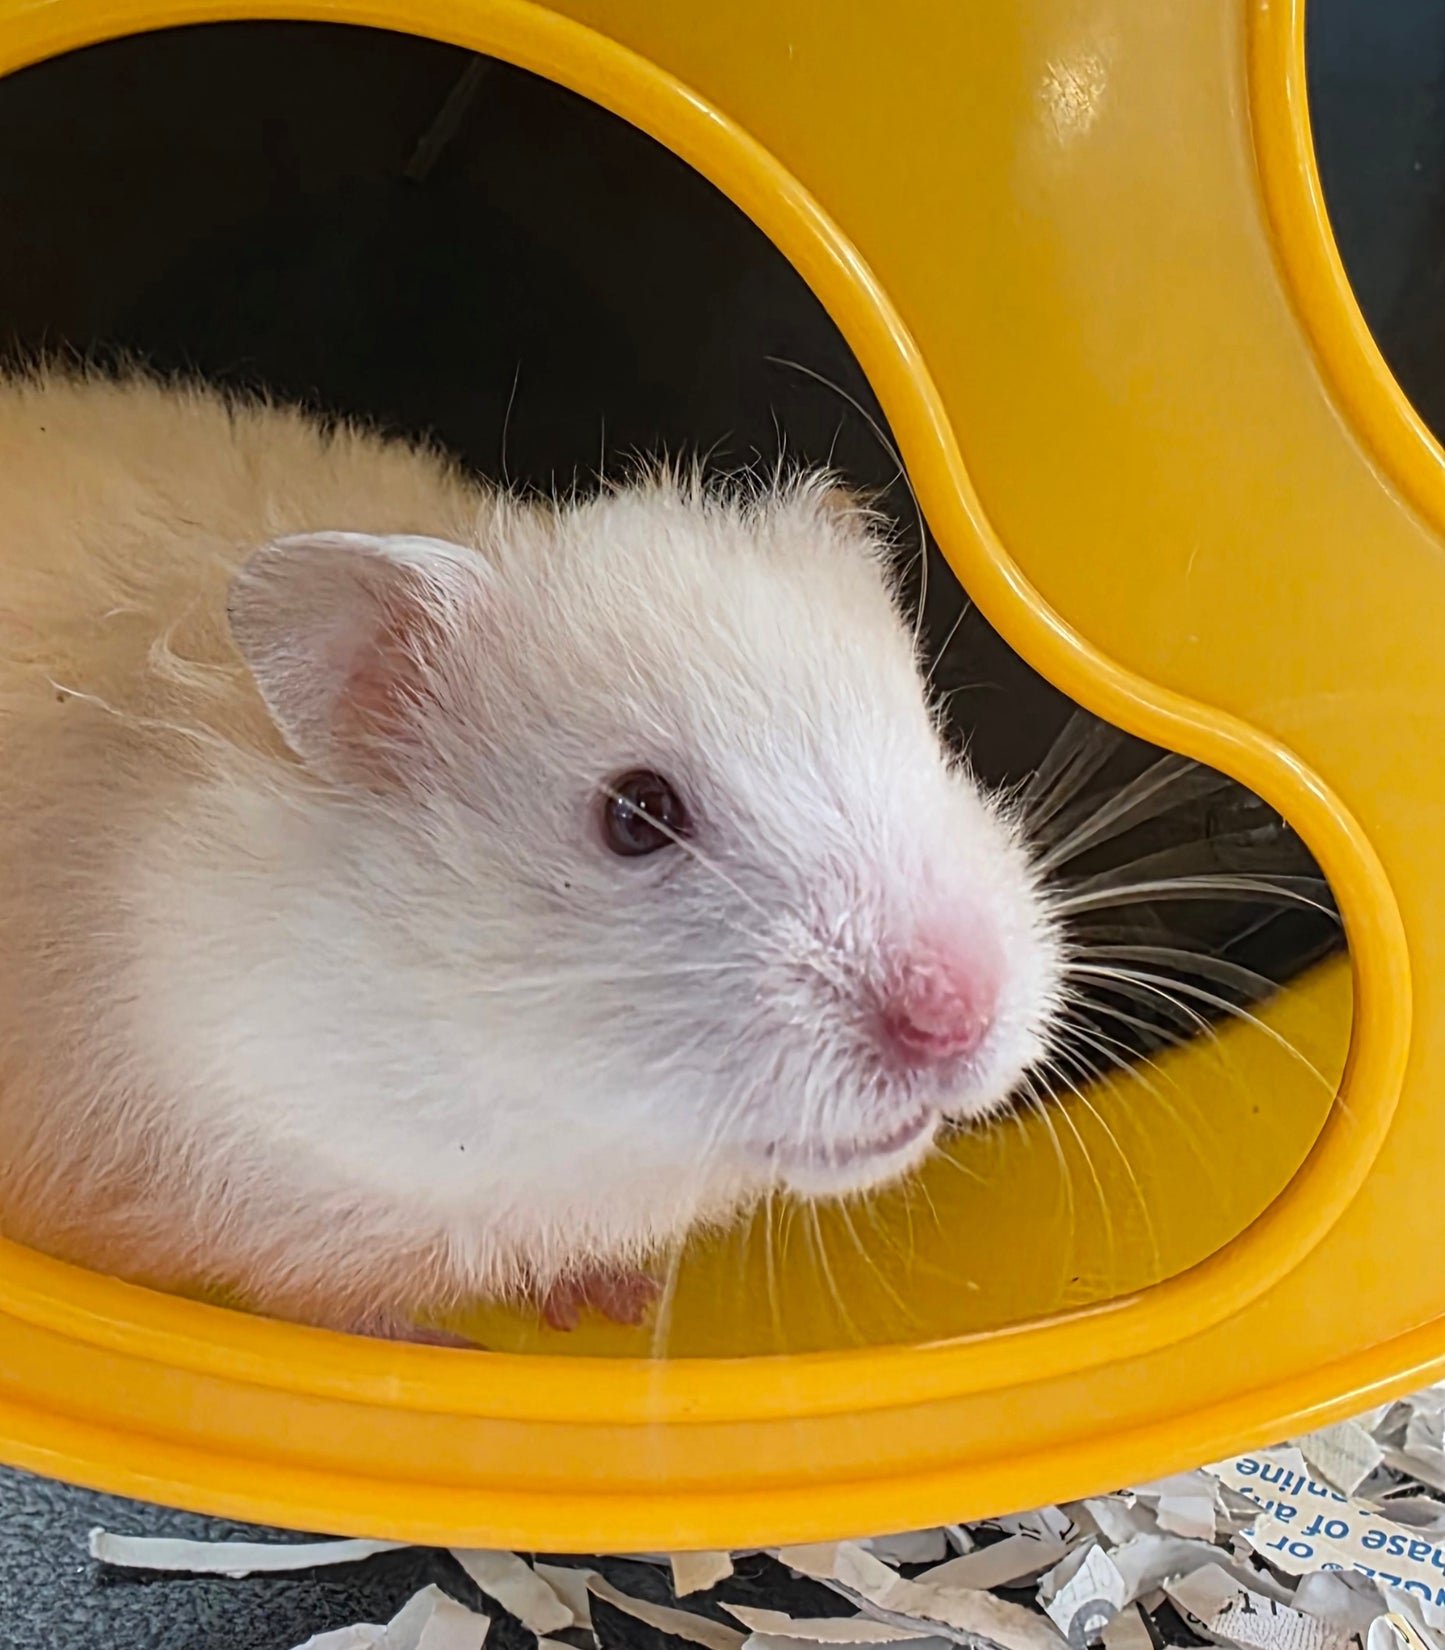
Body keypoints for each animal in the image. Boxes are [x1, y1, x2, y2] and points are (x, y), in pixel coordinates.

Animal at [0, 369, 1063, 1342]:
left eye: (927, 733)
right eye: (636, 815)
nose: (958, 1015)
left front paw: (613, 1303)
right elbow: (337, 1305)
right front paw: (456, 1344)